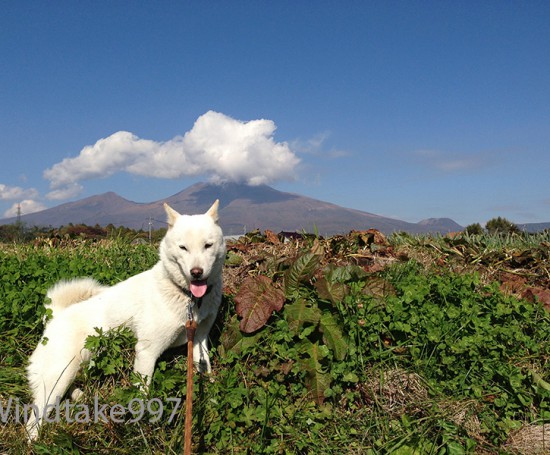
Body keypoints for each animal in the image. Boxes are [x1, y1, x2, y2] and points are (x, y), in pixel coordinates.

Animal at [27, 201, 225, 440]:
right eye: (183, 248)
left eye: (208, 245)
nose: (196, 272)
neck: (188, 298)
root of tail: (55, 316)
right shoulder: (147, 352)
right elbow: (143, 394)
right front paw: (144, 426)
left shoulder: (199, 340)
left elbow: (207, 374)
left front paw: (213, 401)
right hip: (58, 377)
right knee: (34, 419)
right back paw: (34, 441)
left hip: (74, 368)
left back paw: (80, 396)